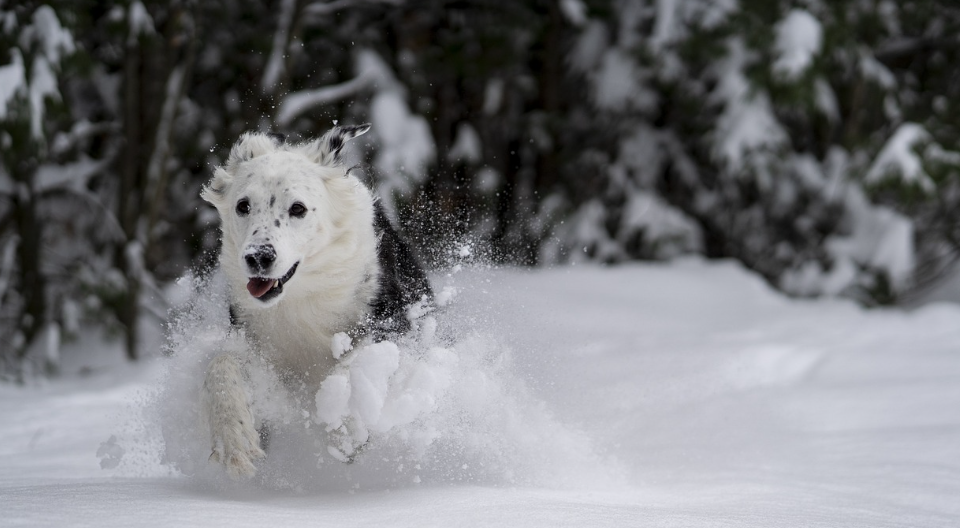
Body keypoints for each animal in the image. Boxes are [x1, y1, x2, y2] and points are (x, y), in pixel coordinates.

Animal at [199, 126, 432, 480]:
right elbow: (221, 364)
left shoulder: (394, 323)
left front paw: (345, 427)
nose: (258, 257)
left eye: (298, 208)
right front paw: (234, 439)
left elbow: (355, 363)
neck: (300, 295)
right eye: (243, 206)